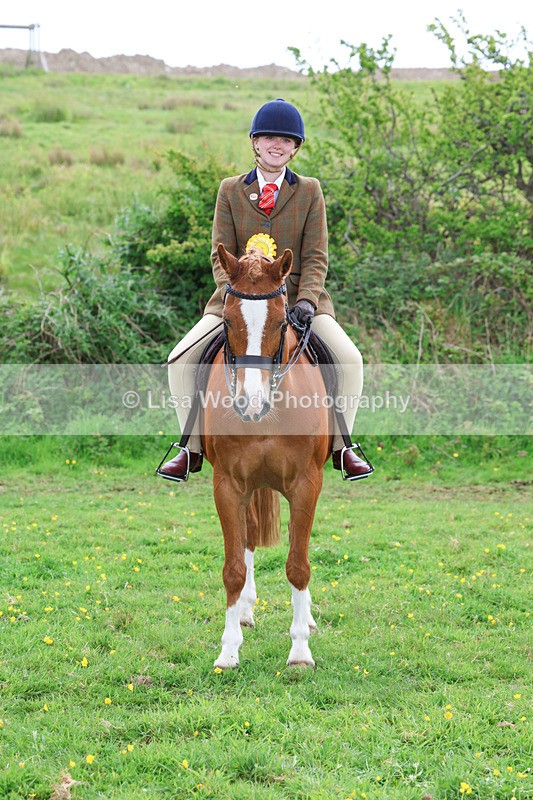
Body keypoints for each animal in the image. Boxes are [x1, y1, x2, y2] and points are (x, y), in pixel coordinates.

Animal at [201, 244, 333, 669]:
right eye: (227, 321)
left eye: (280, 323)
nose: (250, 403)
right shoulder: (227, 486)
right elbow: (233, 568)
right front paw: (228, 651)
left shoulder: (306, 484)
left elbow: (298, 565)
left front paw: (300, 651)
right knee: (248, 538)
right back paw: (244, 612)